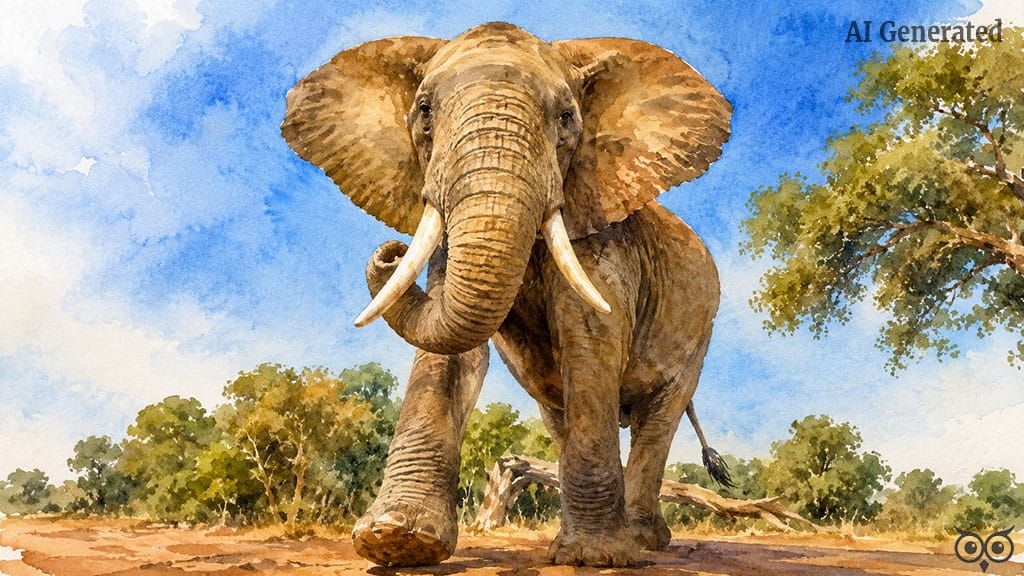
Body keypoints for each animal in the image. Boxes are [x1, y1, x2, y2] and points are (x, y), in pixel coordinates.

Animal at [281, 22, 732, 567]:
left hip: (700, 331)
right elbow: (453, 355)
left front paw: (595, 557)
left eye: (566, 118)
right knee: (560, 414)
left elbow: (590, 339)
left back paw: (642, 540)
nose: (390, 252)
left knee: (658, 416)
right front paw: (396, 541)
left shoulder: (603, 235)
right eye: (424, 109)